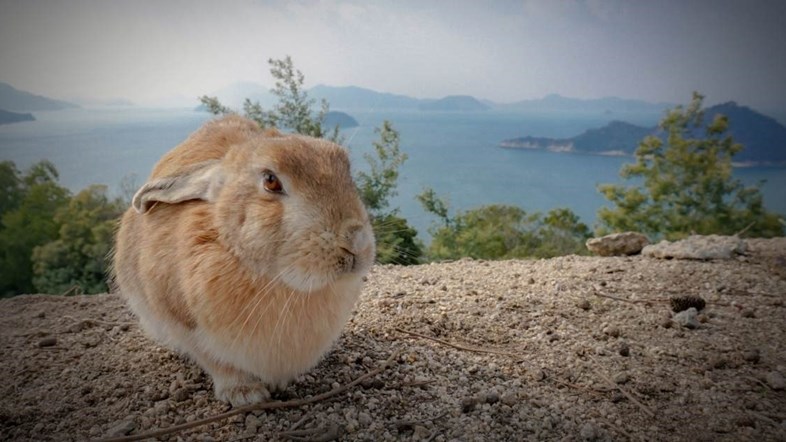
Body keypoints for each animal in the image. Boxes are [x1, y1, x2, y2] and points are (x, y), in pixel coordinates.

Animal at [112, 115, 376, 406]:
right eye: (271, 181)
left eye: (346, 172)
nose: (356, 242)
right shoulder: (180, 319)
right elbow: (216, 362)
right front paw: (244, 394)